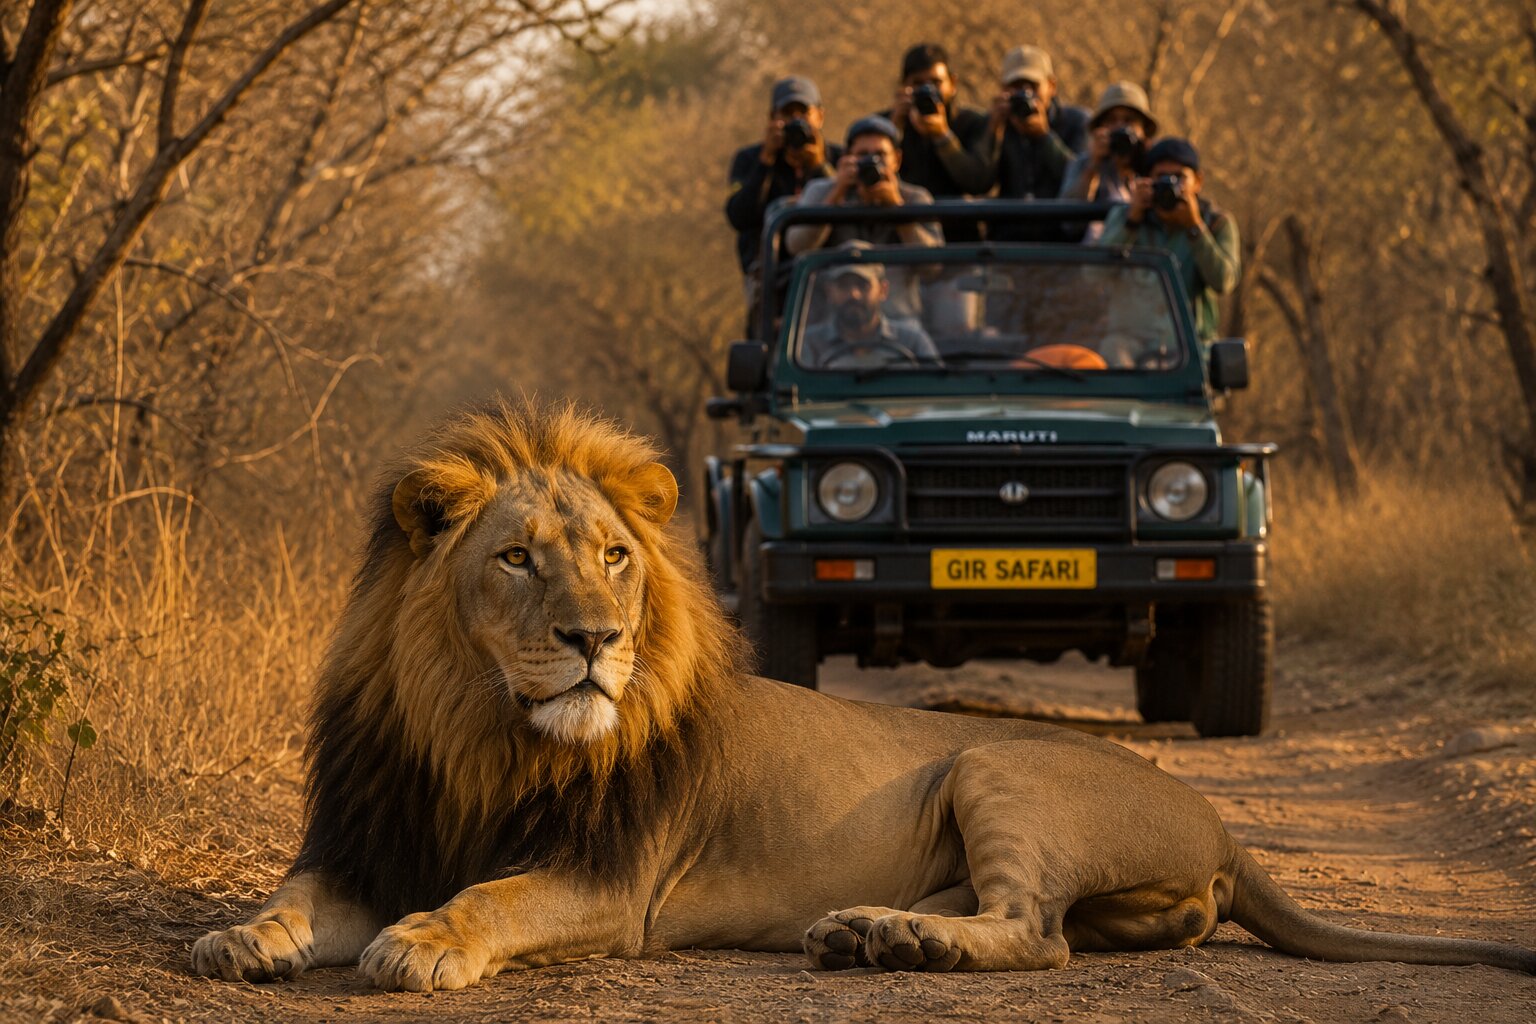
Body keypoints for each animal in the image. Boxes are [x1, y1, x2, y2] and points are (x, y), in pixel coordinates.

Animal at [191, 399, 1536, 990]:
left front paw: (425, 941)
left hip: (996, 764)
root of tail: (1225, 823)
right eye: (517, 558)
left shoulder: (606, 881)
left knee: (1037, 932)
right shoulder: (363, 839)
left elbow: (492, 895)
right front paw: (242, 936)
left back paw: (901, 942)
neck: (478, 732)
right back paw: (871, 930)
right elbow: (294, 895)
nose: (597, 639)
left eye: (615, 556)